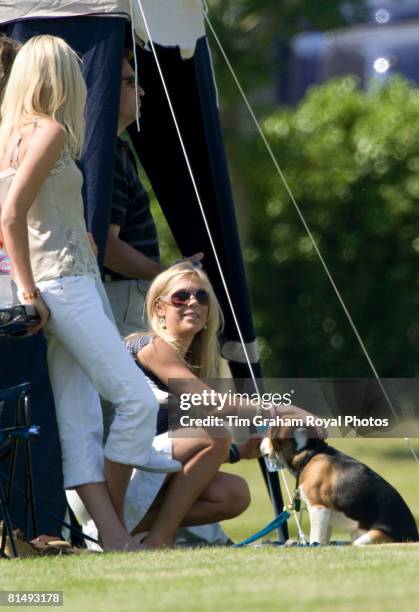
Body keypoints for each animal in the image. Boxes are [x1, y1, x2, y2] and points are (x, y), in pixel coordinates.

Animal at [262, 426, 419, 544]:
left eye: (268, 431)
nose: (259, 442)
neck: (309, 454)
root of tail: (413, 537)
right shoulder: (326, 517)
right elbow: (322, 539)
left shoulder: (318, 508)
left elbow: (315, 539)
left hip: (369, 537)